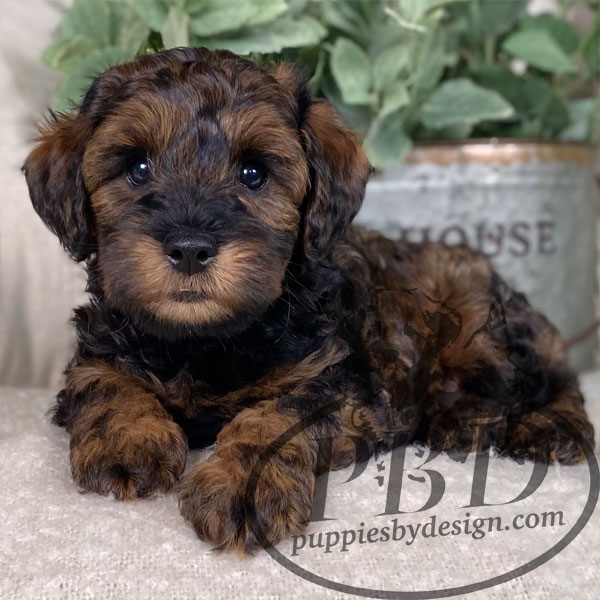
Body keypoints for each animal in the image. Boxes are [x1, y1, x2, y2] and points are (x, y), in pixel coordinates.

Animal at [23, 48, 594, 553]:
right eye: (137, 168)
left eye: (253, 173)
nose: (189, 247)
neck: (206, 341)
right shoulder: (98, 346)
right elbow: (105, 381)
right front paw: (129, 440)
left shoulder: (343, 385)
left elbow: (277, 417)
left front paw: (243, 485)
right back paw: (465, 422)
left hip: (477, 316)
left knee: (548, 379)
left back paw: (543, 426)